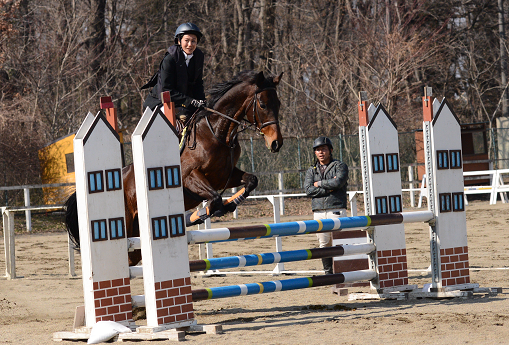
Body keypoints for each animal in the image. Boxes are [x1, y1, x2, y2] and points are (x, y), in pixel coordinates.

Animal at [64, 69, 282, 264]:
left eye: (278, 104)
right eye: (262, 104)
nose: (276, 143)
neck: (217, 133)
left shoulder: (224, 176)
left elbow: (250, 181)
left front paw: (230, 205)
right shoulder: (189, 177)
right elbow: (214, 198)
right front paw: (198, 215)